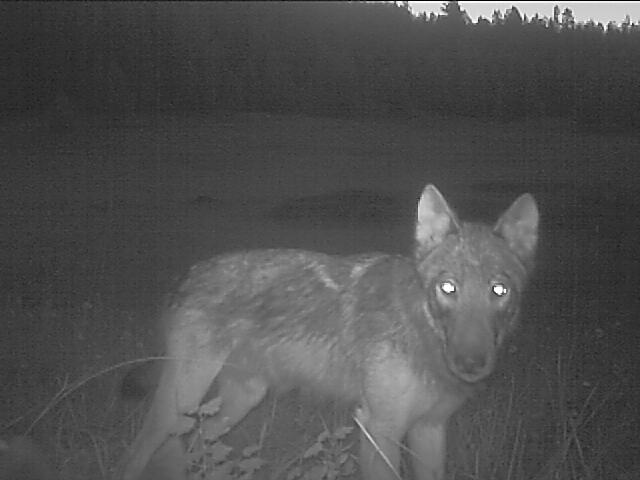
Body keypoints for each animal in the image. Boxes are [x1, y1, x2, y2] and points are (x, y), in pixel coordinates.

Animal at [121, 184, 538, 480]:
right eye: (448, 287)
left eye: (499, 290)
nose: (471, 363)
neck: (422, 331)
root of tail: (189, 273)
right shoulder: (379, 428)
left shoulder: (430, 429)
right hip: (181, 400)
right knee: (138, 454)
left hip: (240, 402)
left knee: (187, 449)